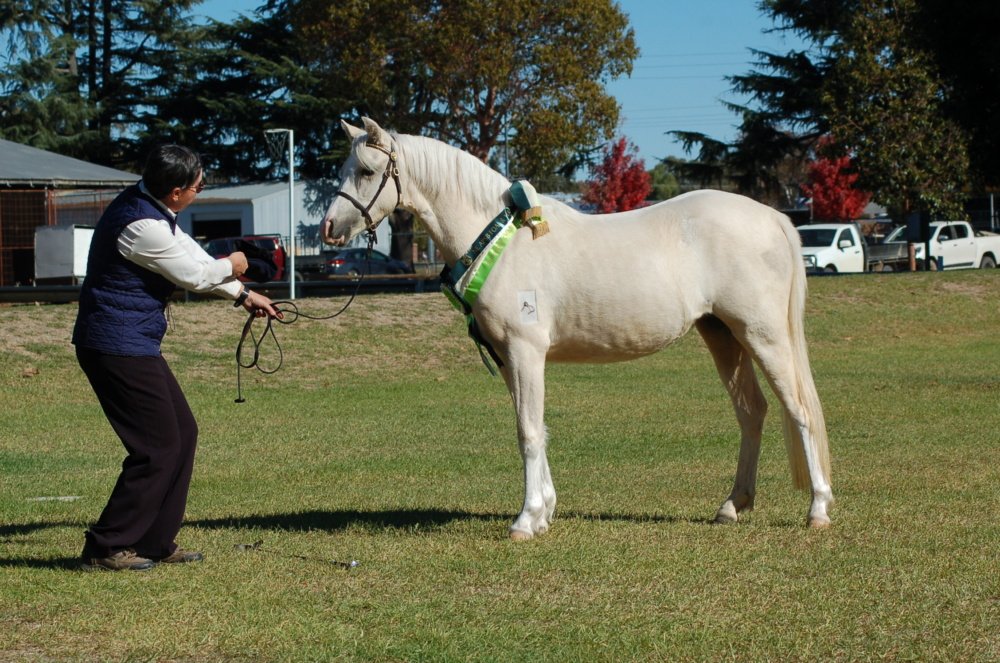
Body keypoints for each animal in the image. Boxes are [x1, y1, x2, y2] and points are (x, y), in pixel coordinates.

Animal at [321, 117, 833, 540]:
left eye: (366, 170)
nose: (328, 229)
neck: (502, 239)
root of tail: (772, 217)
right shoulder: (509, 358)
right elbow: (536, 426)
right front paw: (545, 512)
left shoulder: (525, 352)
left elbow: (528, 432)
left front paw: (526, 520)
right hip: (722, 334)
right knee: (752, 412)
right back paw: (732, 506)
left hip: (763, 335)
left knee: (799, 409)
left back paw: (818, 509)